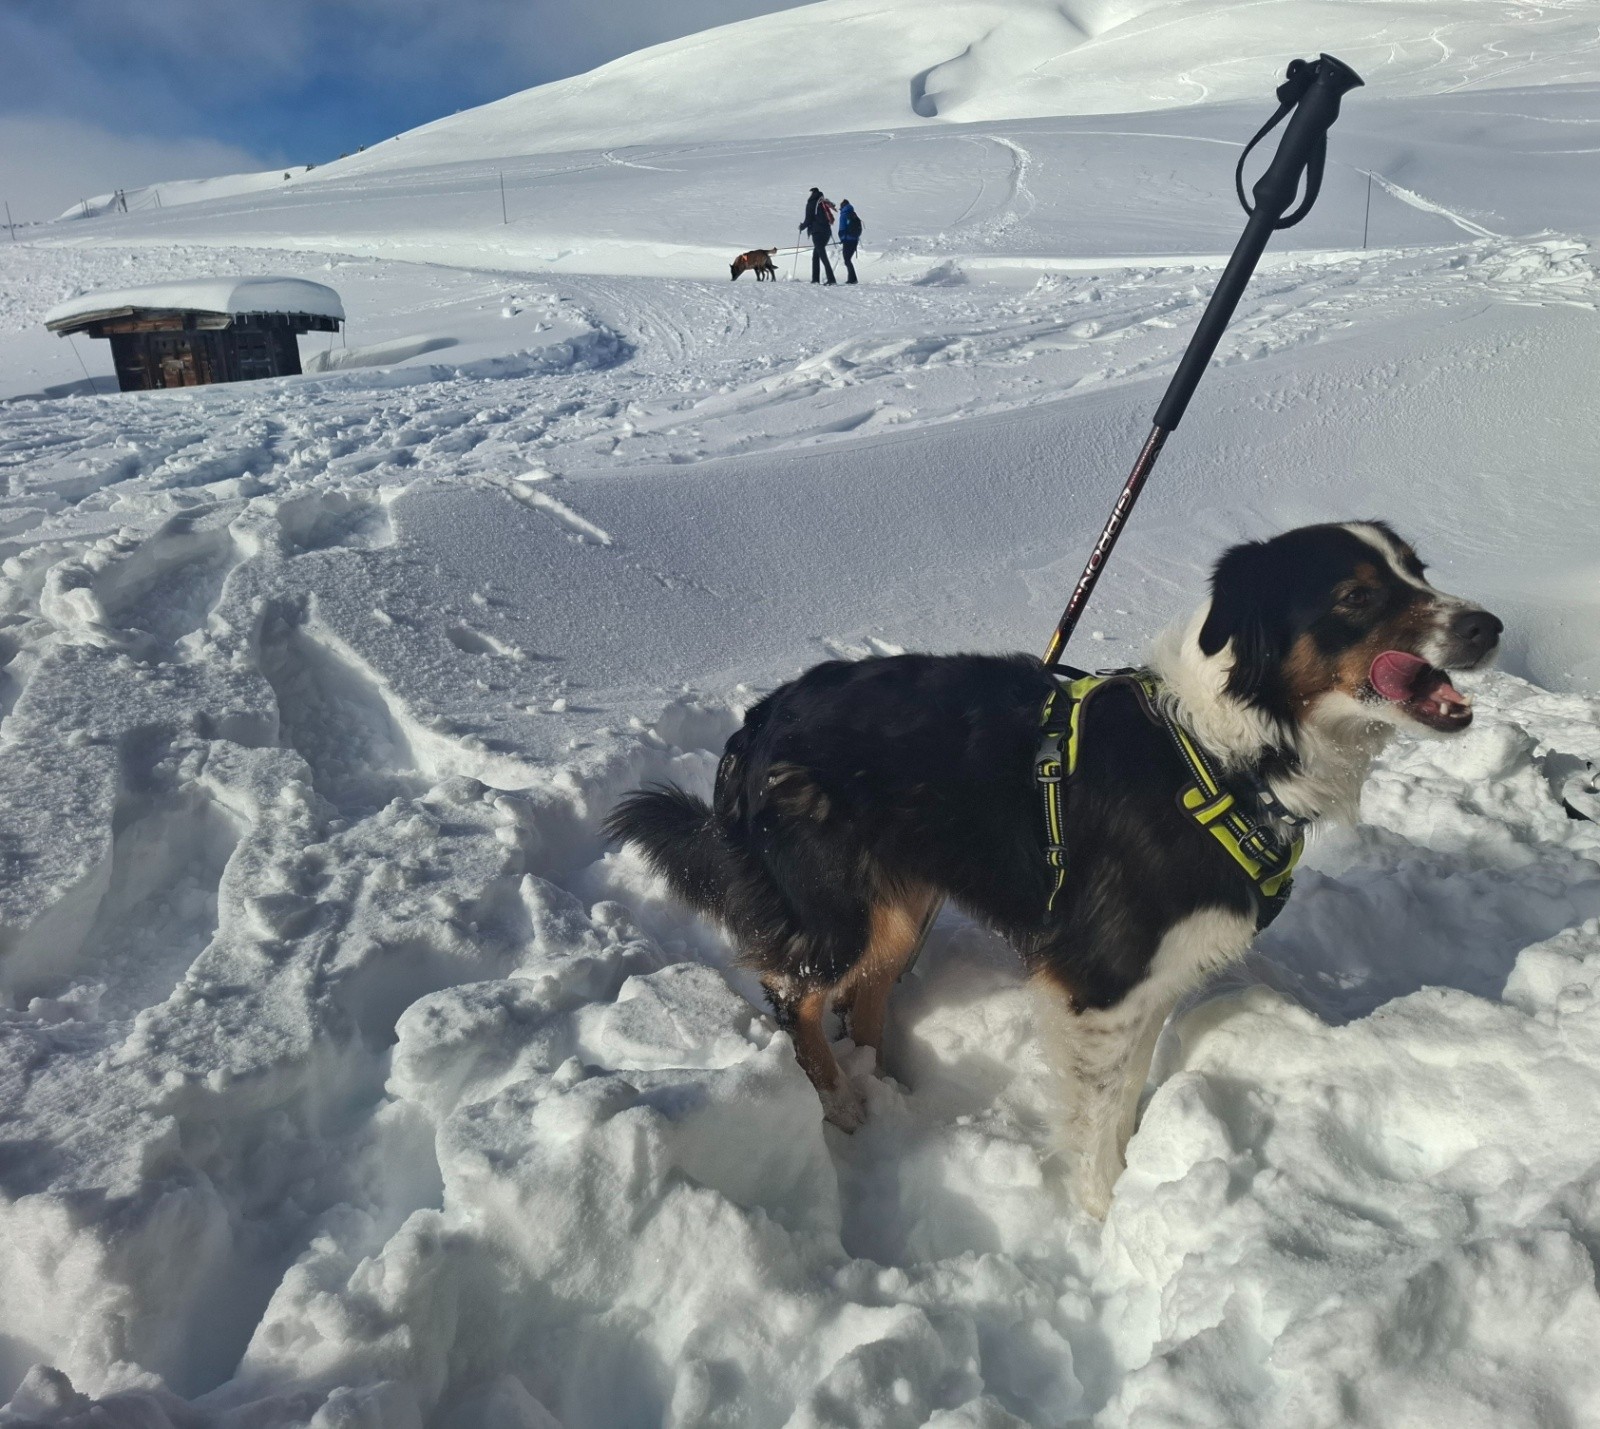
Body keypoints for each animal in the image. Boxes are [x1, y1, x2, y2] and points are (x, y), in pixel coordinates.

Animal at [604, 524, 1504, 1216]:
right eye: (1356, 596)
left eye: (1417, 569)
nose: (1488, 625)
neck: (1222, 758)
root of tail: (756, 722)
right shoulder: (1099, 981)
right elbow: (1095, 1116)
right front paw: (1103, 1215)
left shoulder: (1152, 981)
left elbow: (1126, 1091)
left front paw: (1136, 1175)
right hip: (837, 908)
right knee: (794, 993)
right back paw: (847, 1103)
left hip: (904, 902)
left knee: (866, 996)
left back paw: (899, 1091)